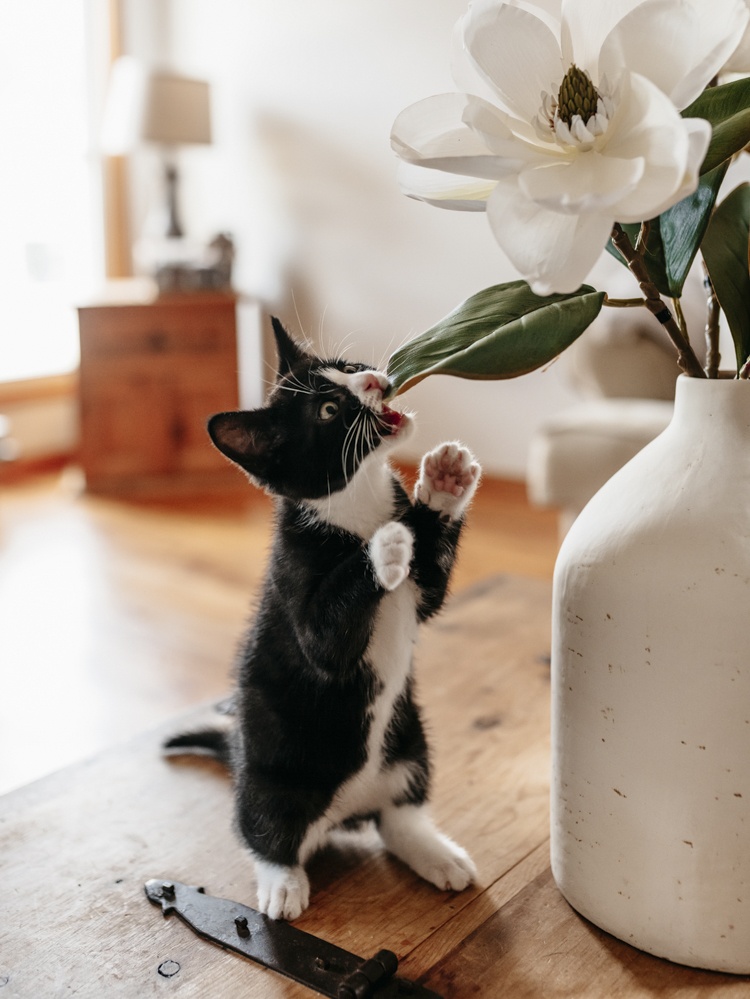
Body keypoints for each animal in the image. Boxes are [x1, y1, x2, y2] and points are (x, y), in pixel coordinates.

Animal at [165, 320, 484, 920]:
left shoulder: (420, 594)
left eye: (348, 366)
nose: (375, 379)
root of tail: (345, 811)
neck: (357, 504)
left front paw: (444, 486)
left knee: (398, 816)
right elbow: (326, 642)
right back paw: (282, 884)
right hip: (271, 779)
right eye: (330, 411)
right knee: (263, 830)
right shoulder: (296, 585)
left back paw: (433, 852)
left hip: (411, 745)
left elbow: (431, 588)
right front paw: (384, 546)